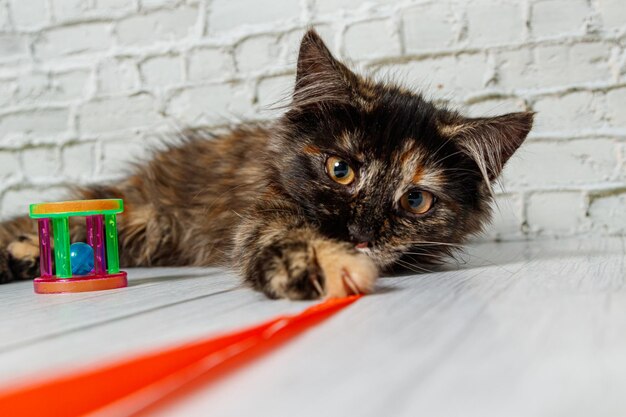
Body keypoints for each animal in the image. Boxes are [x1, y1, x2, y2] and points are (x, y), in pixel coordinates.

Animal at [0, 30, 532, 300]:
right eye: (340, 170)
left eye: (416, 200)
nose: (359, 236)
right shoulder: (264, 212)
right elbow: (285, 237)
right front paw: (325, 263)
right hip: (139, 214)